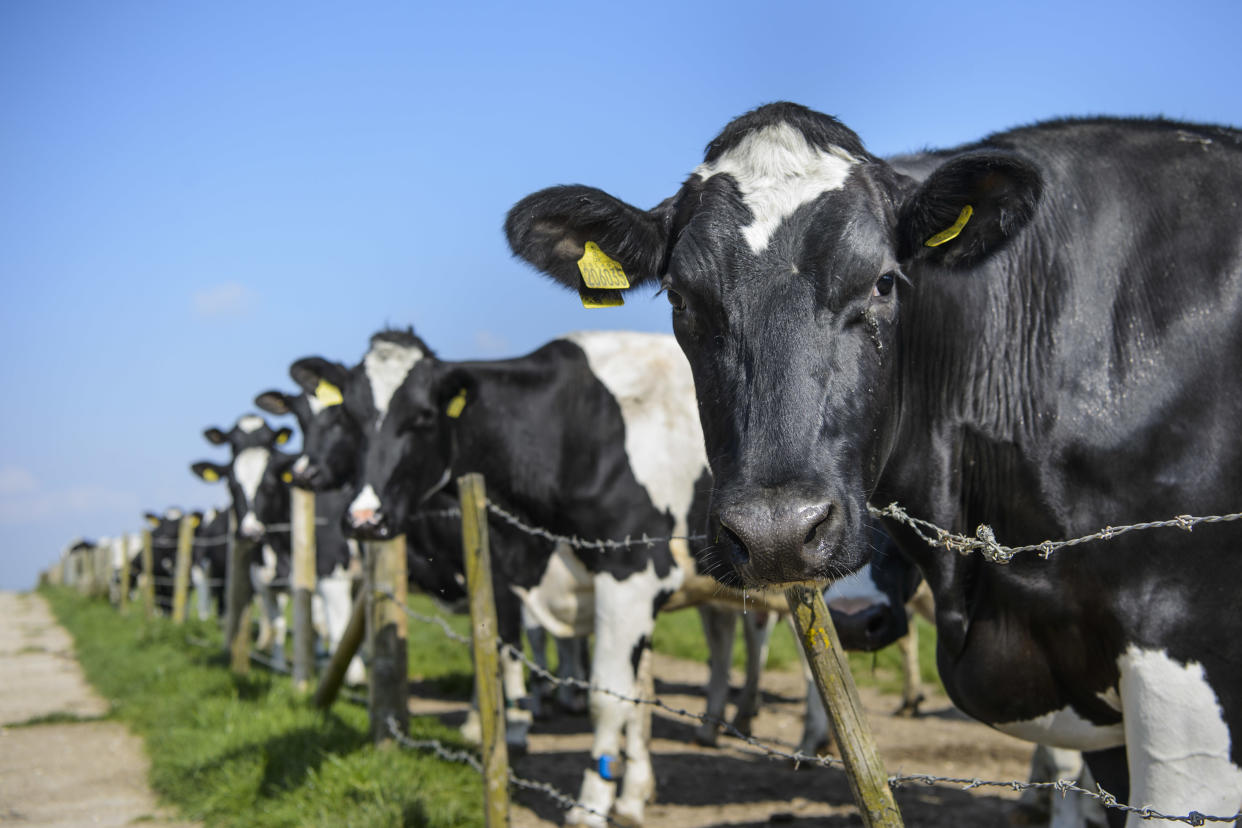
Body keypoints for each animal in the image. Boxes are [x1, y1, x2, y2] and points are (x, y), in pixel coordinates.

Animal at [188, 414, 295, 665]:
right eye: (231, 486)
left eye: (270, 484)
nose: (249, 531)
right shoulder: (263, 582)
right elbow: (277, 622)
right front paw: (277, 663)